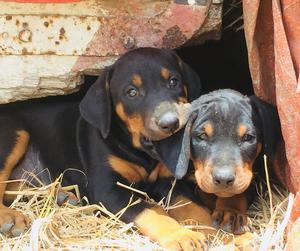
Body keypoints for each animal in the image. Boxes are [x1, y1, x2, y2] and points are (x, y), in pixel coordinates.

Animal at [0, 48, 209, 250]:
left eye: (173, 81)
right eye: (132, 92)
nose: (171, 122)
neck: (142, 153)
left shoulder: (169, 182)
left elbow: (193, 206)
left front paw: (214, 230)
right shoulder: (109, 191)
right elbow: (151, 211)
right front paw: (182, 235)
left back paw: (61, 196)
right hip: (14, 136)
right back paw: (10, 218)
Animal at [154, 89, 284, 234]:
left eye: (248, 137)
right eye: (202, 136)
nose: (223, 179)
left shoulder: (253, 176)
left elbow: (236, 192)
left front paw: (230, 212)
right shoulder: (166, 182)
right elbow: (186, 203)